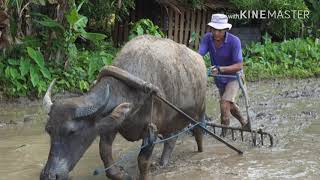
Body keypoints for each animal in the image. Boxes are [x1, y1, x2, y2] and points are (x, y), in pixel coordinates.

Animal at [40, 35, 208, 180]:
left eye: (72, 132)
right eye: (49, 130)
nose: (49, 175)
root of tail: (200, 59)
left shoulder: (151, 129)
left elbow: (142, 160)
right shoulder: (111, 124)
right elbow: (105, 153)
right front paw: (122, 174)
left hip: (199, 112)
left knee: (198, 132)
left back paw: (200, 151)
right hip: (172, 119)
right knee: (171, 138)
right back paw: (163, 162)